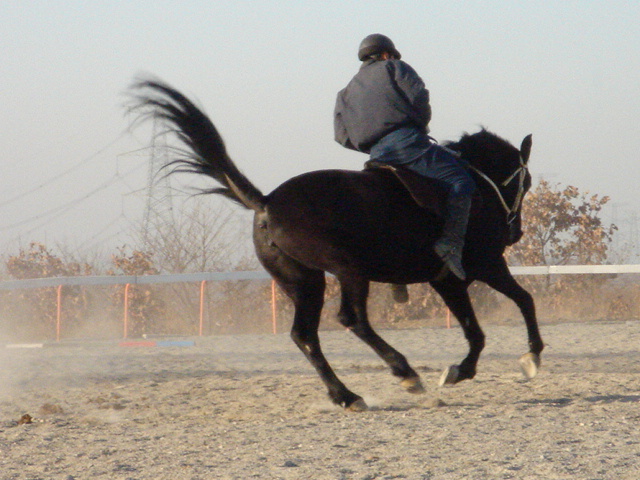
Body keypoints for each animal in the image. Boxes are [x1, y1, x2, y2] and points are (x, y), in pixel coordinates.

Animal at [130, 79, 544, 412]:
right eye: (525, 182)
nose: (516, 233)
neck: (477, 187)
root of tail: (267, 202)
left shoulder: (447, 280)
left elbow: (483, 324)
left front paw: (469, 368)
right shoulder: (483, 266)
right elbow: (517, 304)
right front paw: (526, 358)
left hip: (304, 281)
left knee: (304, 335)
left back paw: (347, 396)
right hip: (348, 270)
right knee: (352, 319)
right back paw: (404, 372)